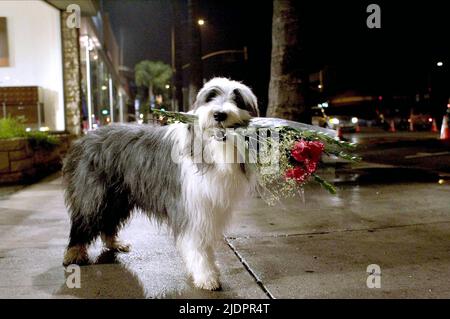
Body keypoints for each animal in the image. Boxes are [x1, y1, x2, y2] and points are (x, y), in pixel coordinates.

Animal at [63, 77, 260, 290]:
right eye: (211, 97)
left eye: (237, 99)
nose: (219, 114)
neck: (211, 148)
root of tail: (84, 139)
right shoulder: (190, 209)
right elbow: (198, 245)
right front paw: (206, 276)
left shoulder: (209, 207)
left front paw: (211, 270)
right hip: (94, 193)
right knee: (84, 220)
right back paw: (74, 253)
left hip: (118, 195)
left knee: (108, 221)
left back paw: (114, 243)